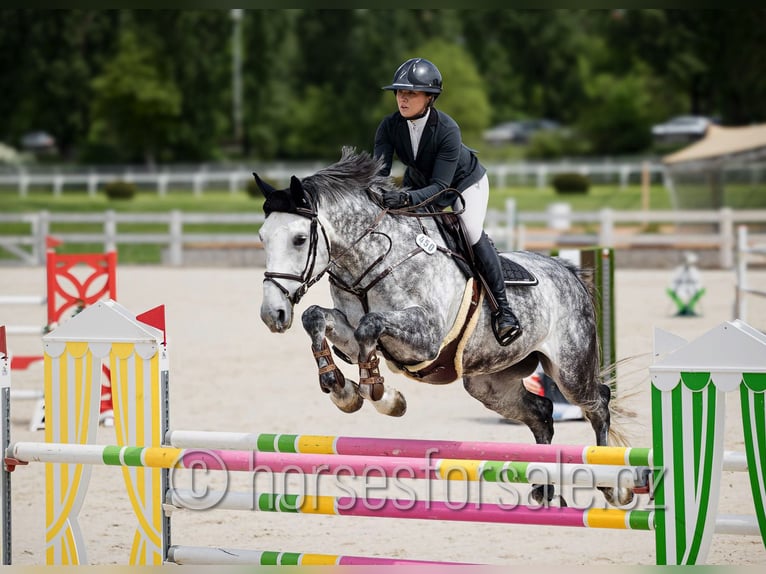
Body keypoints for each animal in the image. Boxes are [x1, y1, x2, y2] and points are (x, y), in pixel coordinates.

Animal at [255, 147, 630, 506]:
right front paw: (341, 389)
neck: (373, 261)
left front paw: (380, 394)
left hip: (570, 371)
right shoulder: (348, 329)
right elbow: (317, 317)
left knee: (598, 401)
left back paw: (614, 486)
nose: (272, 314)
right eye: (262, 237)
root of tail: (567, 271)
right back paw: (545, 490)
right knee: (542, 412)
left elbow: (370, 327)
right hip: (488, 384)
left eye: (299, 239)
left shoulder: (426, 339)